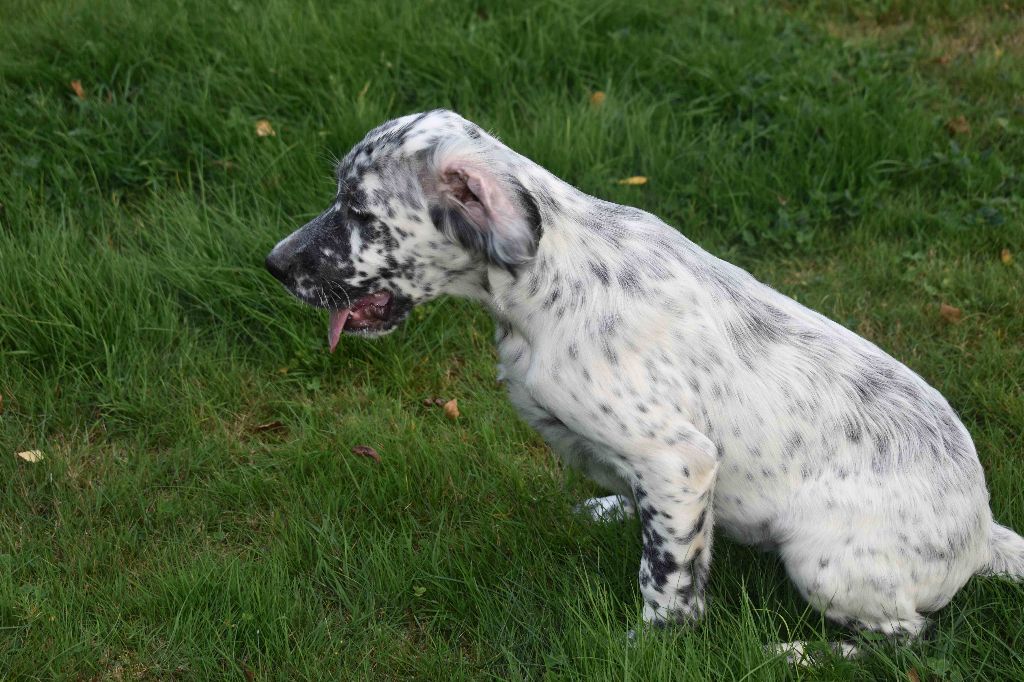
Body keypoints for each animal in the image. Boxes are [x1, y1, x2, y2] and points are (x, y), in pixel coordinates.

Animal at [266, 109, 1024, 647]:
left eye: (360, 214)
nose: (273, 264)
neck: (542, 285)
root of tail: (983, 534)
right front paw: (614, 509)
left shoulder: (678, 458)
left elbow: (667, 578)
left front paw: (650, 645)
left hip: (824, 561)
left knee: (906, 636)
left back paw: (802, 654)